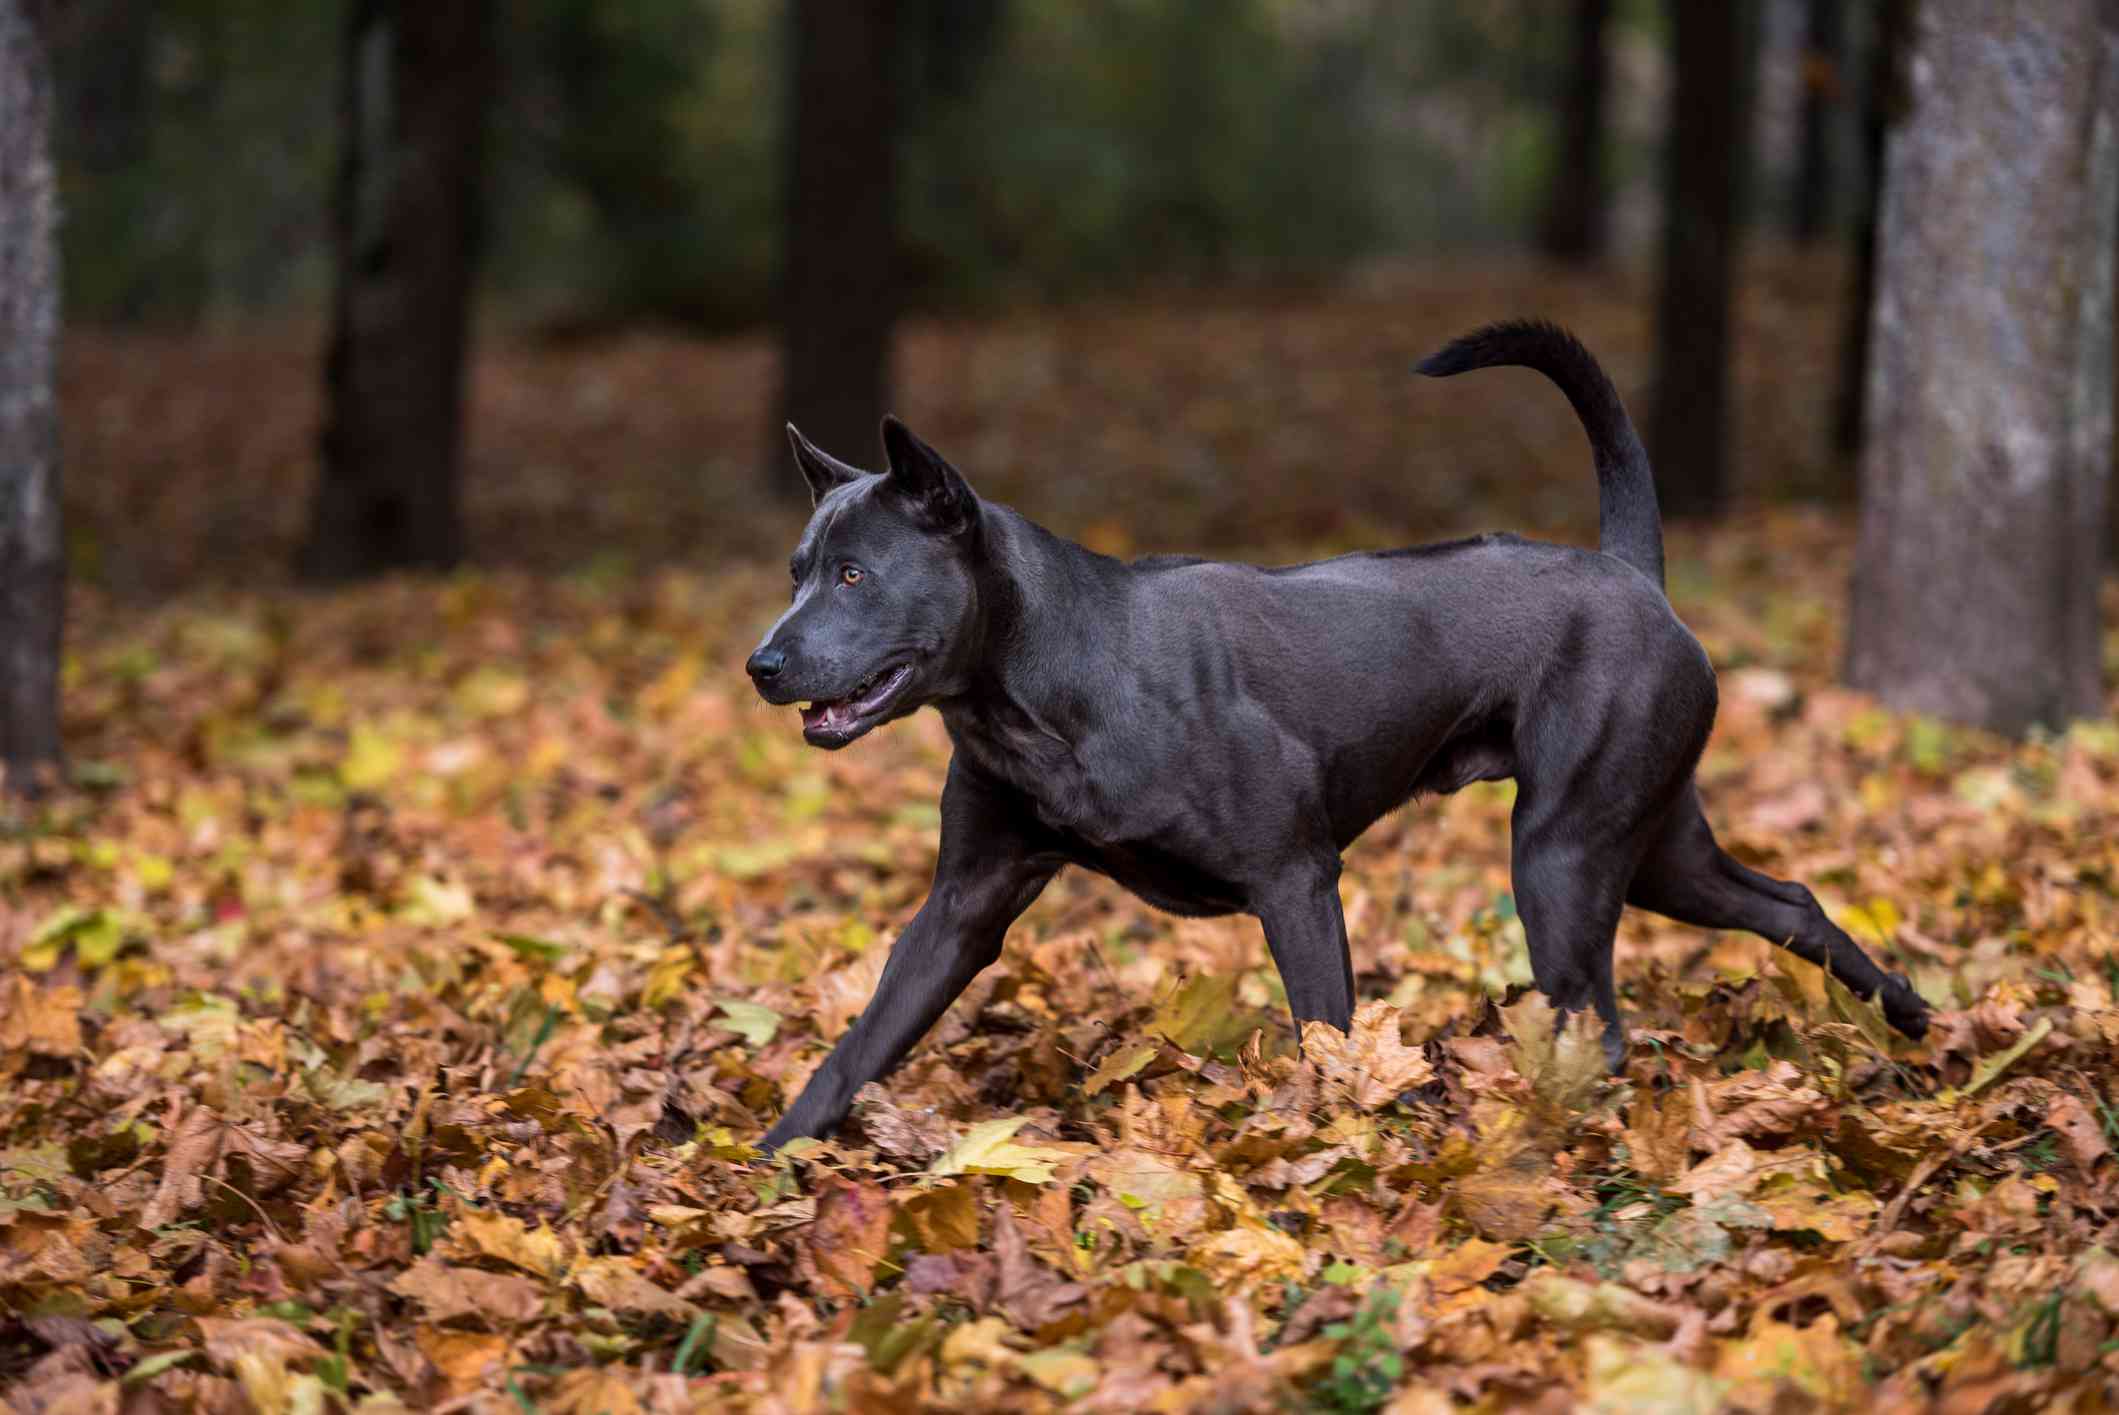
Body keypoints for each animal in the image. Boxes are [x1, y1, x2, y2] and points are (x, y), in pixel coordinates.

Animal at [750, 319, 1941, 1152]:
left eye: (855, 574)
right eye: (796, 569)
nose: (761, 664)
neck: (1044, 679)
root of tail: (1628, 571)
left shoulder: (1296, 880)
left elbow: (1323, 1036)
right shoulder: (962, 906)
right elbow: (855, 1048)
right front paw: (768, 1166)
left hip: (1562, 856)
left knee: (1599, 1020)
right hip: (1654, 849)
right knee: (1788, 904)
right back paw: (1913, 1021)